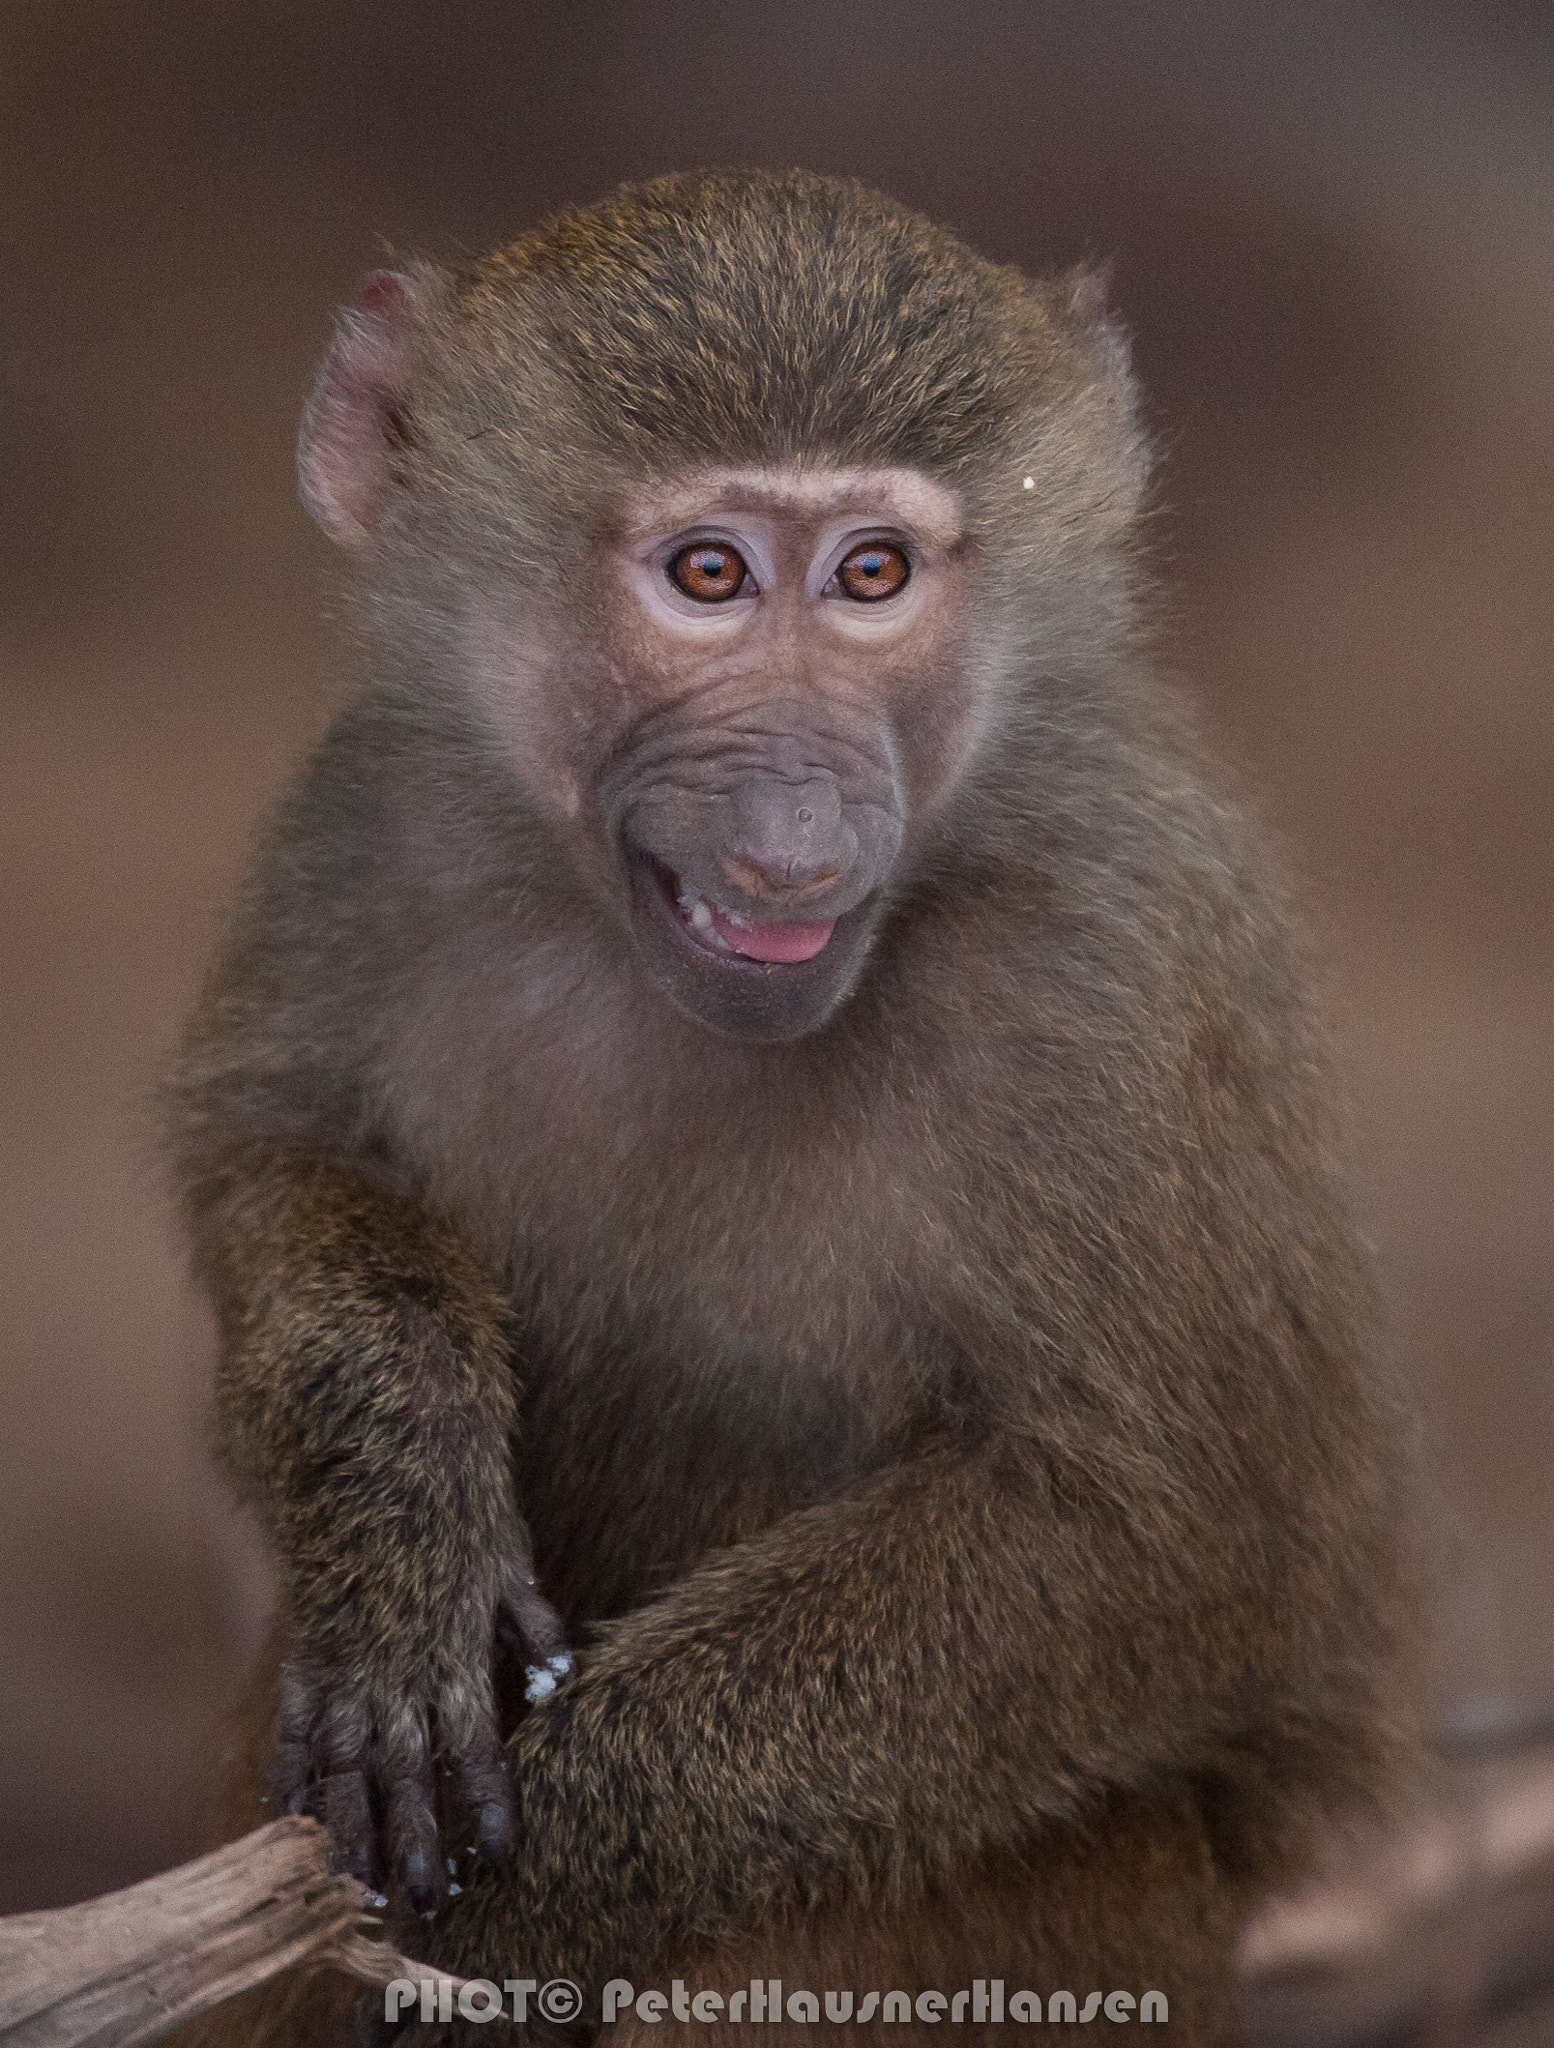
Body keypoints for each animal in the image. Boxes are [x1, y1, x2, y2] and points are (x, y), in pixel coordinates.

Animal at [163, 171, 1414, 2047]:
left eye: (870, 575)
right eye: (707, 575)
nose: (793, 839)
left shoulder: (1112, 963)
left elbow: (1170, 1537)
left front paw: (529, 1896)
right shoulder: (369, 804)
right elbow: (262, 1161)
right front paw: (396, 1521)